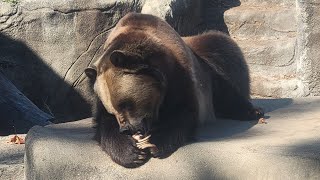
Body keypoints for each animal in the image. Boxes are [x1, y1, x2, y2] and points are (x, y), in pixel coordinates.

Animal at [84, 12, 262, 167]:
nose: (127, 129)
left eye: (126, 104)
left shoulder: (181, 76)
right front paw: (132, 152)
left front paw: (155, 143)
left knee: (223, 57)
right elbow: (103, 122)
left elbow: (182, 112)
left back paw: (252, 111)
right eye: (113, 109)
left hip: (209, 62)